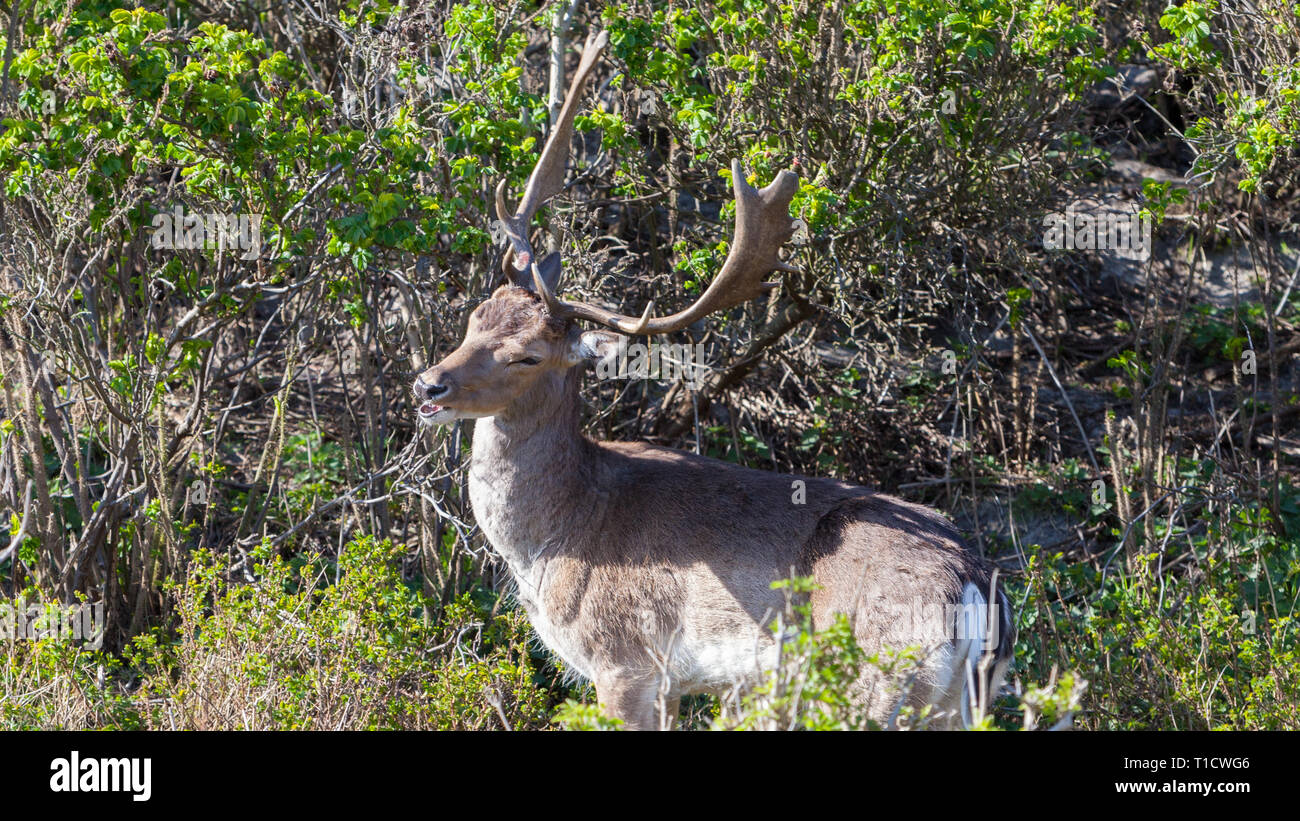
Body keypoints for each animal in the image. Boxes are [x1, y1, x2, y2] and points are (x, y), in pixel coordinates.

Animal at [416, 28, 1013, 727]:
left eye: (528, 357)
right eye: (475, 316)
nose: (429, 386)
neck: (557, 538)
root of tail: (971, 588)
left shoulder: (626, 659)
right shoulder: (673, 683)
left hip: (866, 686)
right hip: (957, 702)